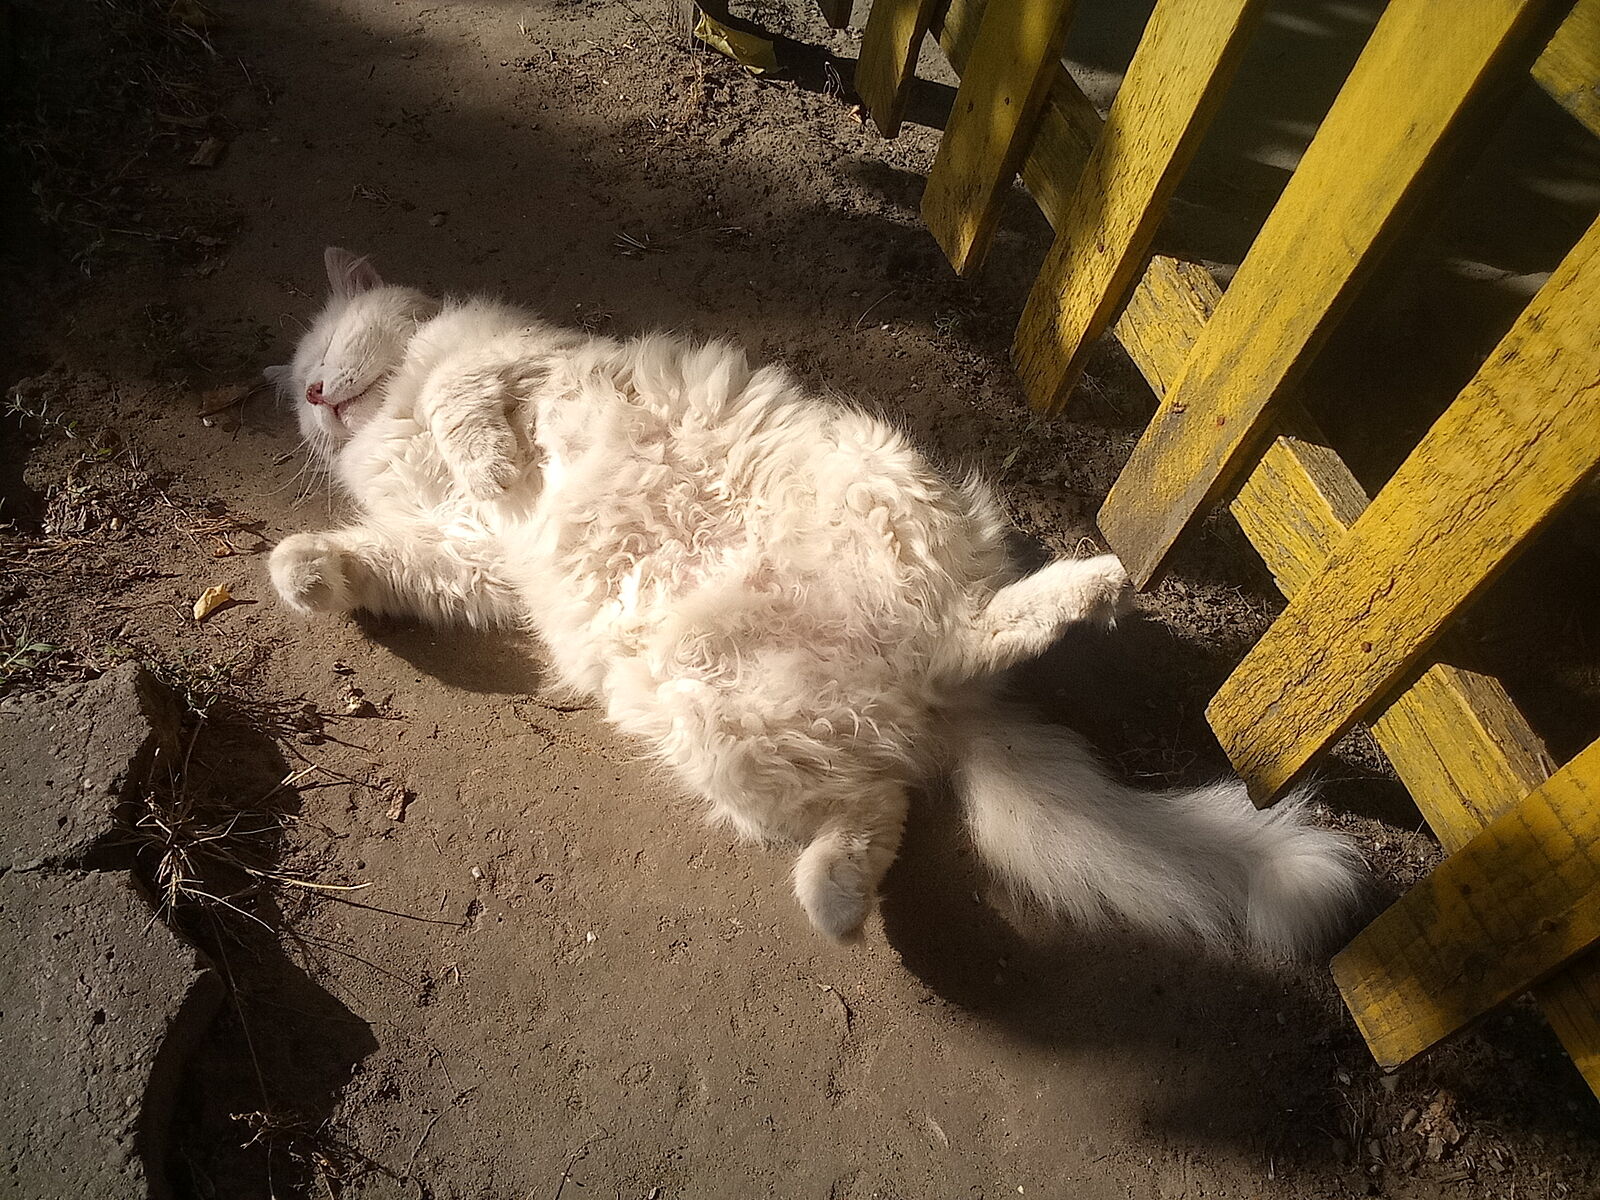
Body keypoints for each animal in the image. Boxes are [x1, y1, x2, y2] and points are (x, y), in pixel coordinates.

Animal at [268, 247, 1366, 954]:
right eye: (300, 386)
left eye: (324, 350)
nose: (315, 399)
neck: (389, 421)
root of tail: (924, 704)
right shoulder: (468, 559)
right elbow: (385, 560)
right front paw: (303, 572)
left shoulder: (512, 364)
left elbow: (462, 402)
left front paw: (491, 463)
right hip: (719, 726)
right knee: (881, 809)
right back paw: (835, 906)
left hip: (879, 534)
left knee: (963, 646)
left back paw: (1094, 585)